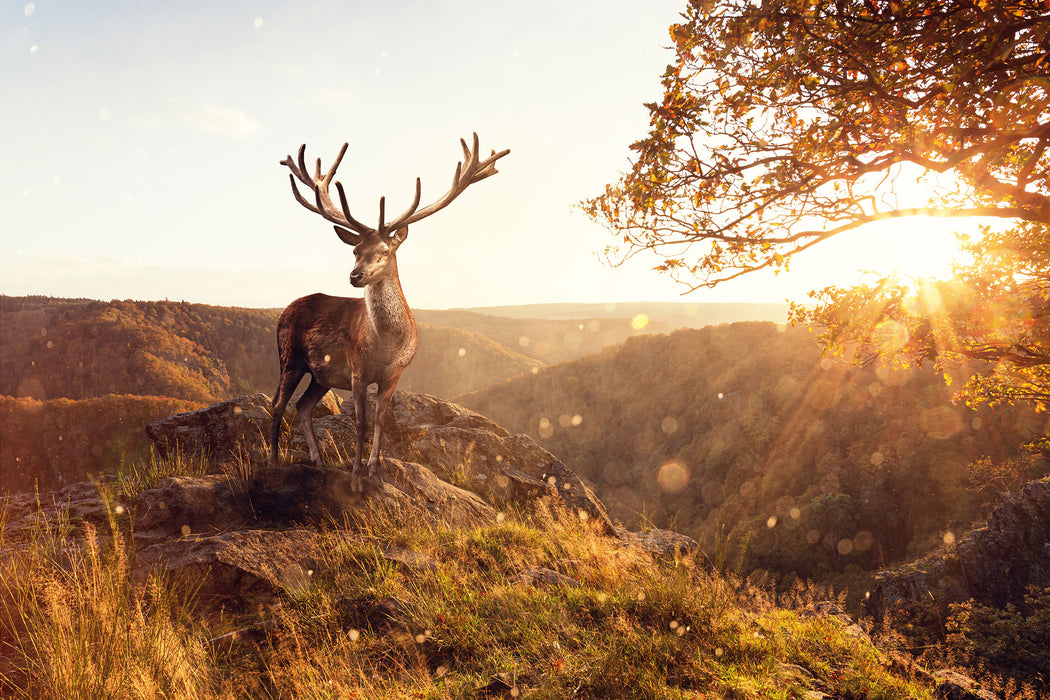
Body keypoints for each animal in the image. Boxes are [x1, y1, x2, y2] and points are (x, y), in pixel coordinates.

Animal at [270, 134, 508, 491]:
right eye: (355, 250)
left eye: (384, 250)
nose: (355, 275)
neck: (386, 346)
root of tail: (284, 311)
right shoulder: (356, 368)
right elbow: (361, 423)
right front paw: (356, 478)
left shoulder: (395, 373)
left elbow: (381, 421)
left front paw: (375, 471)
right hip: (291, 355)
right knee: (278, 404)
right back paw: (270, 464)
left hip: (321, 373)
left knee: (302, 404)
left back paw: (318, 462)